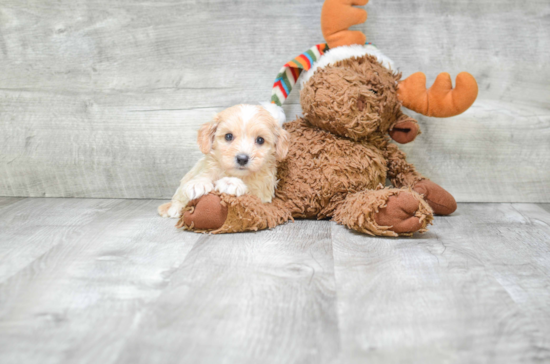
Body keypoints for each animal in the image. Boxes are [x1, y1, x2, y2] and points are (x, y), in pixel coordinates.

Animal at [158, 102, 292, 218]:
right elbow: (204, 175)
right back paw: (174, 209)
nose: (242, 159)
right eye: (228, 136)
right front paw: (198, 183)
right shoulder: (207, 167)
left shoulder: (264, 192)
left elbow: (252, 192)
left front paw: (230, 183)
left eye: (260, 140)